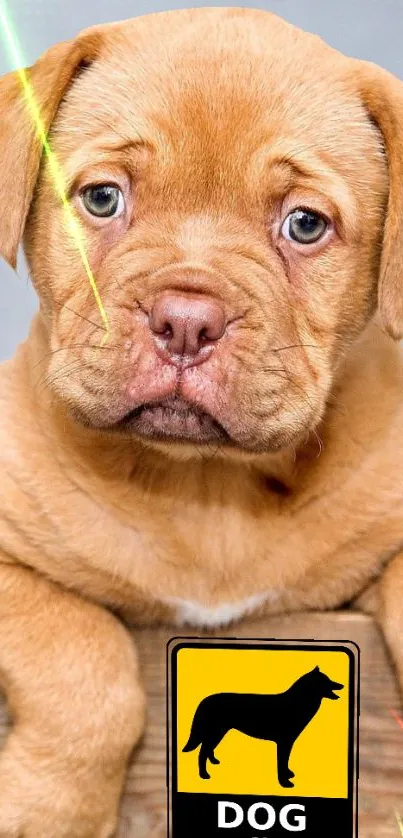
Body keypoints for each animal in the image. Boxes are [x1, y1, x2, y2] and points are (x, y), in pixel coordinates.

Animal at [0, 8, 403, 838]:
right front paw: (47, 808)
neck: (206, 490)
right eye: (101, 199)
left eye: (305, 224)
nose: (186, 321)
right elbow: (79, 655)